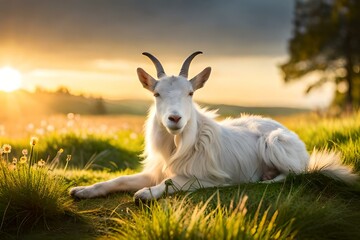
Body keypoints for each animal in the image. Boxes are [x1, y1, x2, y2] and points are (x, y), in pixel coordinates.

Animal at [70, 51, 358, 201]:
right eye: (157, 94)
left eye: (190, 93)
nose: (175, 119)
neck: (182, 144)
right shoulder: (155, 170)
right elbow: (118, 179)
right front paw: (82, 190)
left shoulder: (203, 177)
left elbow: (171, 182)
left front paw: (146, 193)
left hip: (275, 142)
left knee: (296, 174)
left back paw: (263, 179)